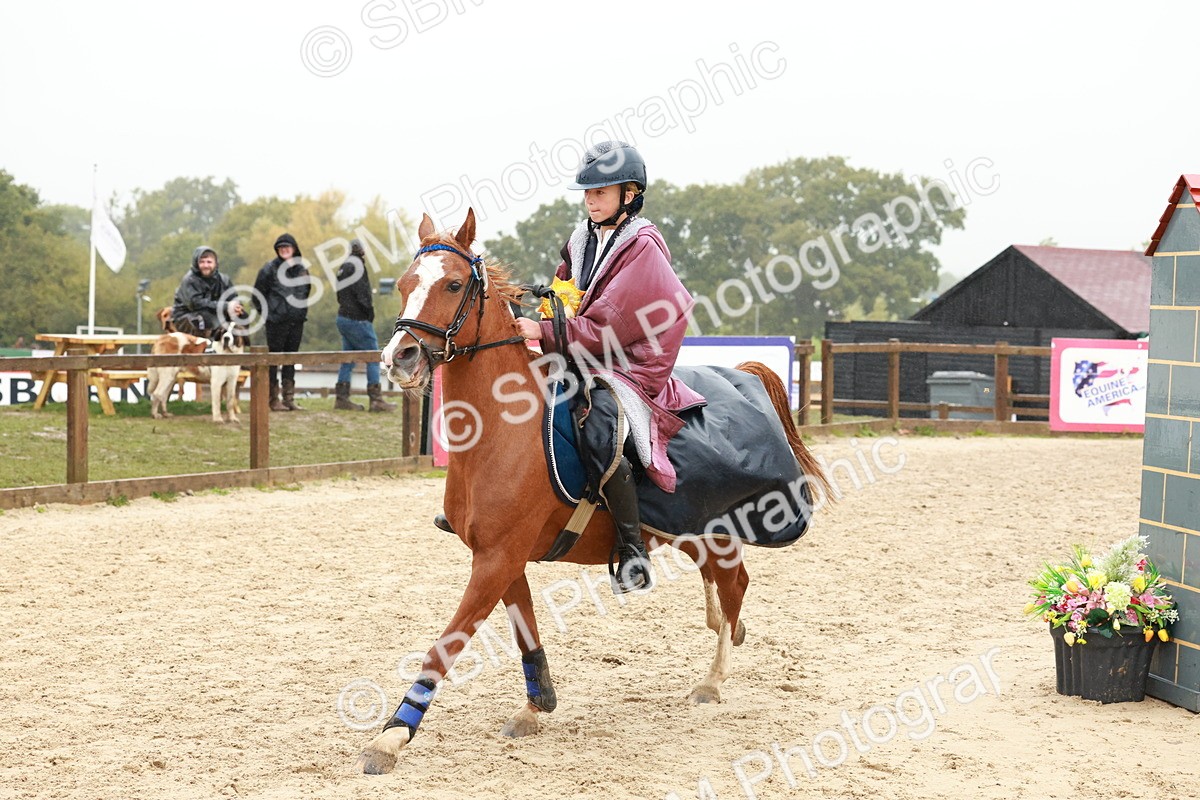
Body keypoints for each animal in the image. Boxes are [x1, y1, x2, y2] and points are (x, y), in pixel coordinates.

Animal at [359, 209, 830, 774]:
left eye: (452, 284)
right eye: (407, 285)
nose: (400, 358)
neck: (502, 429)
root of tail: (741, 376)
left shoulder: (497, 558)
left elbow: (446, 644)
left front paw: (393, 735)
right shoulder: (501, 557)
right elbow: (526, 630)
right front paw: (536, 704)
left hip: (716, 532)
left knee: (735, 584)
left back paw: (714, 680)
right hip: (688, 529)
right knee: (720, 585)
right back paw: (722, 631)